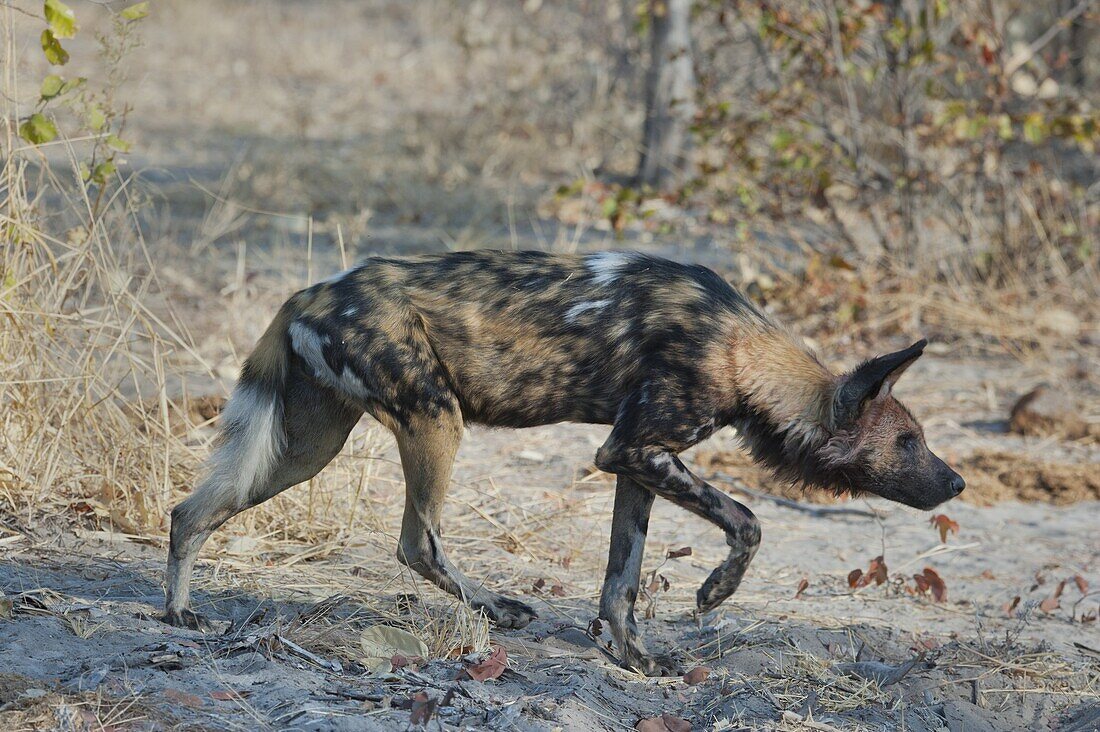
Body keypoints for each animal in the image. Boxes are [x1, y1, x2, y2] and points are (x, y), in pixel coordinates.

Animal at [162, 249, 963, 673]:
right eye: (908, 443)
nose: (956, 481)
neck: (741, 352)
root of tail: (313, 290)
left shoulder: (638, 462)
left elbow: (620, 584)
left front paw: (636, 660)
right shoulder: (634, 450)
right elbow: (748, 521)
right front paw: (714, 593)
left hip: (306, 449)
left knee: (191, 511)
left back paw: (178, 613)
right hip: (436, 420)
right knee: (418, 541)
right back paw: (497, 608)